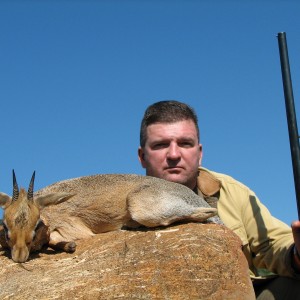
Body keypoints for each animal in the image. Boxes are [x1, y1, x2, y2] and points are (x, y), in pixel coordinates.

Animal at [0, 171, 220, 262]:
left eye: (36, 225)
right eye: (5, 227)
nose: (19, 257)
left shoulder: (76, 228)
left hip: (140, 208)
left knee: (210, 213)